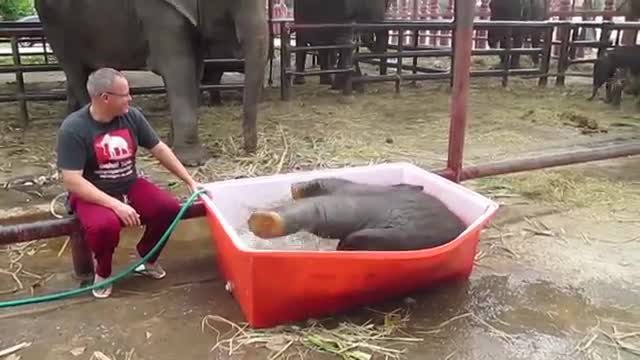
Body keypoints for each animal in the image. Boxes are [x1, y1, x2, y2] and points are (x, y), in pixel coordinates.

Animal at [33, 0, 268, 166]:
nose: (248, 150)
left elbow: (195, 68)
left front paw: (171, 143)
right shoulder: (158, 13)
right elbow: (178, 66)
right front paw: (194, 160)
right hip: (57, 26)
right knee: (75, 70)